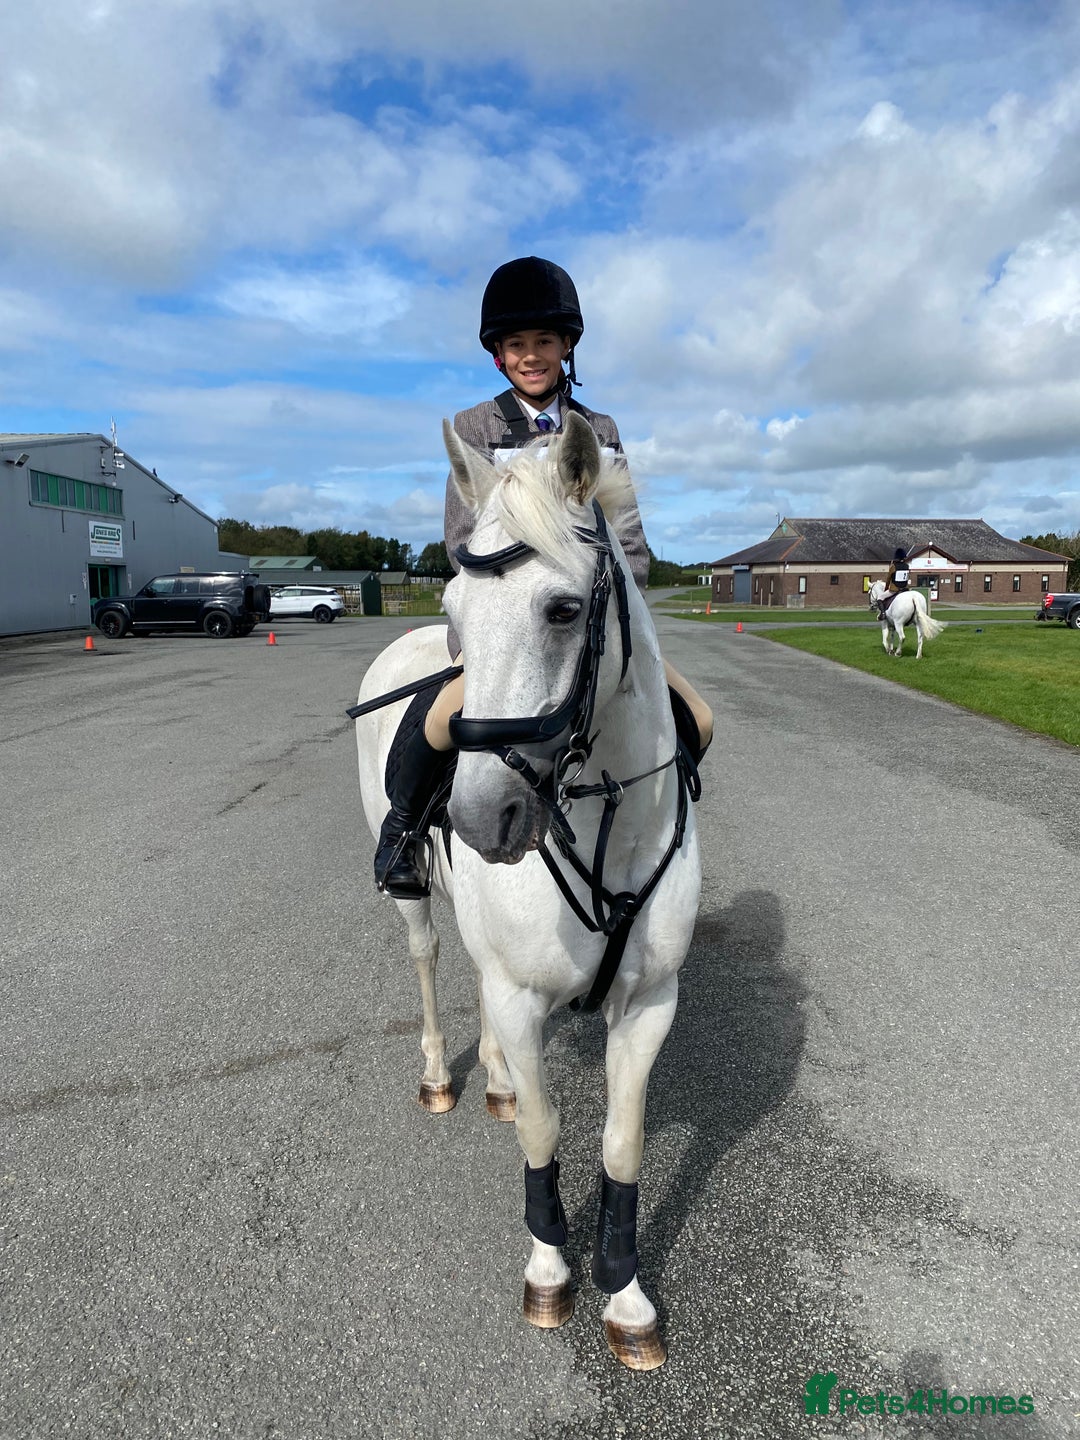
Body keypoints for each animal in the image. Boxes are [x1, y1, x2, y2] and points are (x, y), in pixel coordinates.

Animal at [353, 412, 701, 1370]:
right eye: (453, 614)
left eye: (563, 609)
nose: (480, 818)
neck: (608, 820)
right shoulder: (519, 993)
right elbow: (544, 1133)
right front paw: (549, 1268)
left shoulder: (650, 1004)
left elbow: (622, 1143)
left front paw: (625, 1296)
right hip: (412, 898)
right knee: (431, 958)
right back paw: (444, 1074)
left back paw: (500, 1079)